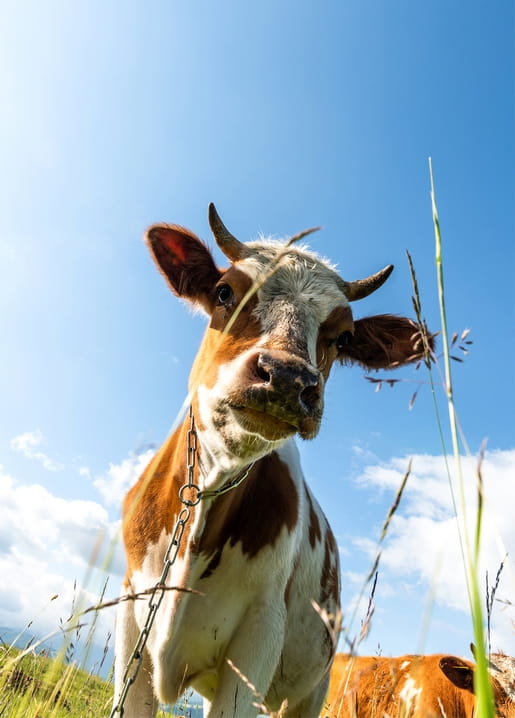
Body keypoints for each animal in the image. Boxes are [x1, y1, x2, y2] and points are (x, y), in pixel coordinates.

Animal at [113, 204, 429, 718]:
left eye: (343, 338)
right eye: (225, 292)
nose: (285, 378)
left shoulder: (260, 635)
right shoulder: (131, 610)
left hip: (311, 688)